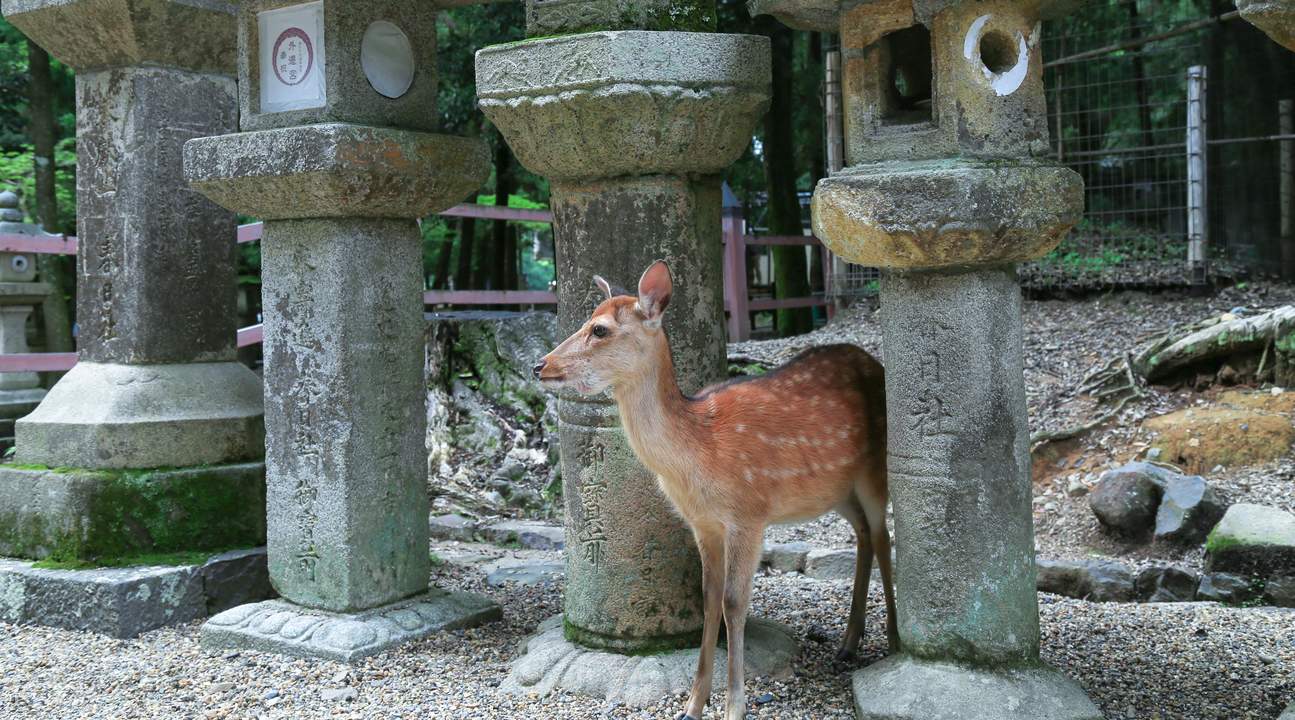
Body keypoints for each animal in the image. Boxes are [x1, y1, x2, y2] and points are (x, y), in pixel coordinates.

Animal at [532, 260, 896, 720]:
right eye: (585, 321)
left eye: (599, 329)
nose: (539, 365)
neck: (698, 453)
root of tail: (876, 363)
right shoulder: (702, 523)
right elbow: (708, 599)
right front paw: (693, 704)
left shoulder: (749, 513)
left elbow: (734, 603)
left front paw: (734, 706)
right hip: (837, 491)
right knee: (865, 535)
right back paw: (848, 644)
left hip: (875, 469)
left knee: (883, 538)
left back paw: (895, 641)